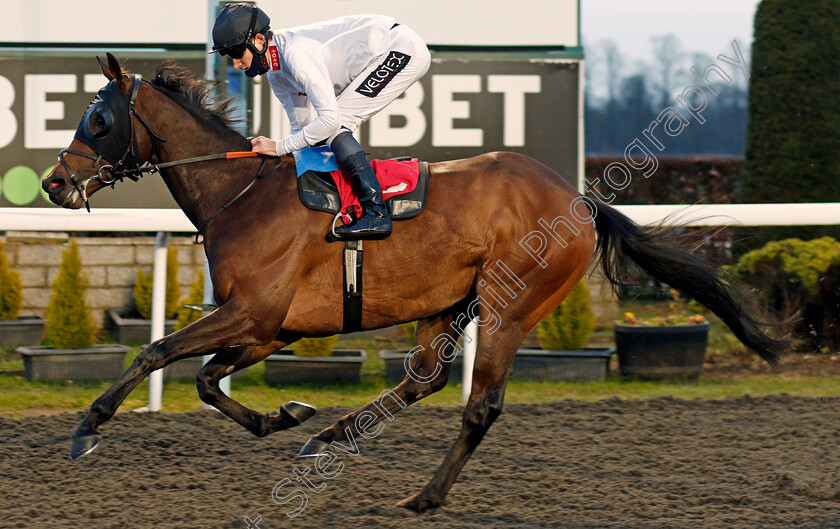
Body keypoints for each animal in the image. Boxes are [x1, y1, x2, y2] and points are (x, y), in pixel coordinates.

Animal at [44, 54, 780, 512]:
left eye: (98, 120)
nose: (54, 182)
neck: (240, 193)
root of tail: (580, 199)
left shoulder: (254, 313)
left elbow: (156, 351)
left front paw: (87, 427)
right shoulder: (269, 327)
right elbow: (202, 378)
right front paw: (286, 415)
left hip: (512, 304)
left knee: (479, 405)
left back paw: (424, 495)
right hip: (449, 303)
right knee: (424, 378)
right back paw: (332, 436)